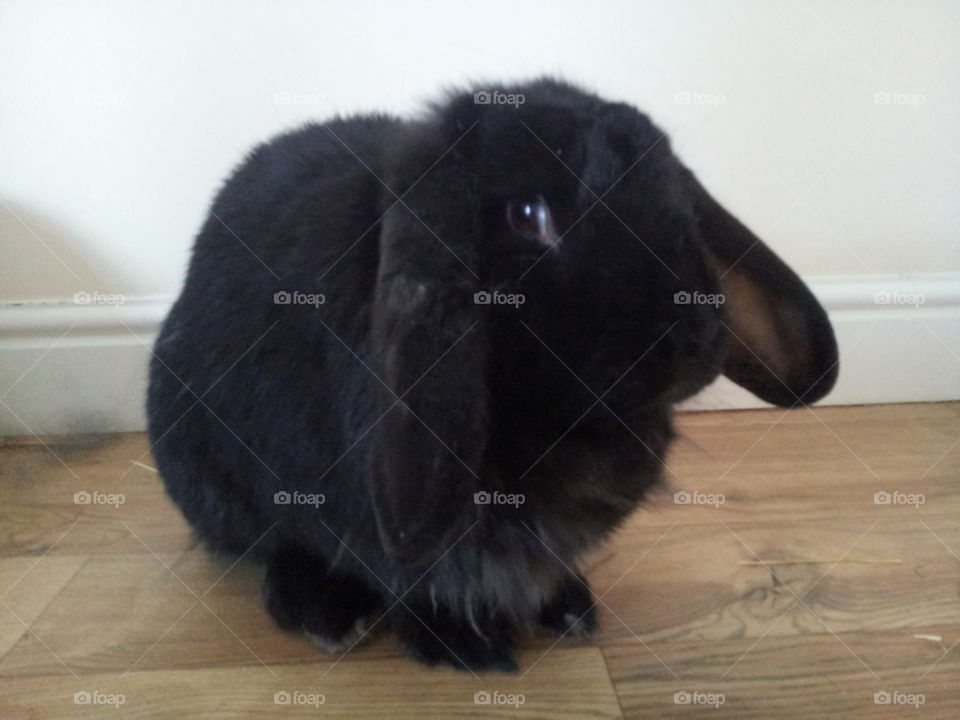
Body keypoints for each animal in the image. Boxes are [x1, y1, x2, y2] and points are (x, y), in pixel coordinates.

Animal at [146, 77, 838, 671]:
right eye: (527, 214)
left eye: (681, 204)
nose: (692, 339)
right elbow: (409, 579)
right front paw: (458, 644)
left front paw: (564, 605)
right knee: (271, 546)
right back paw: (327, 614)